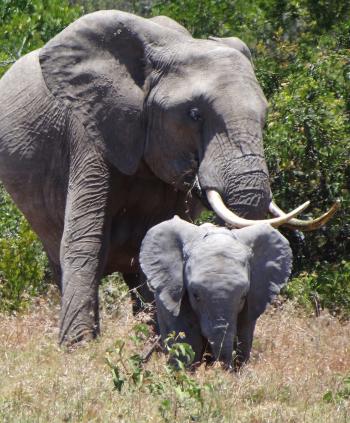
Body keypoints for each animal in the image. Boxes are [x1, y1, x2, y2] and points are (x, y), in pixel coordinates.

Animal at [0, 11, 336, 346]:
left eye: (265, 120)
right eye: (194, 114)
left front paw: (169, 344)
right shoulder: (91, 130)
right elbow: (85, 241)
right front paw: (79, 348)